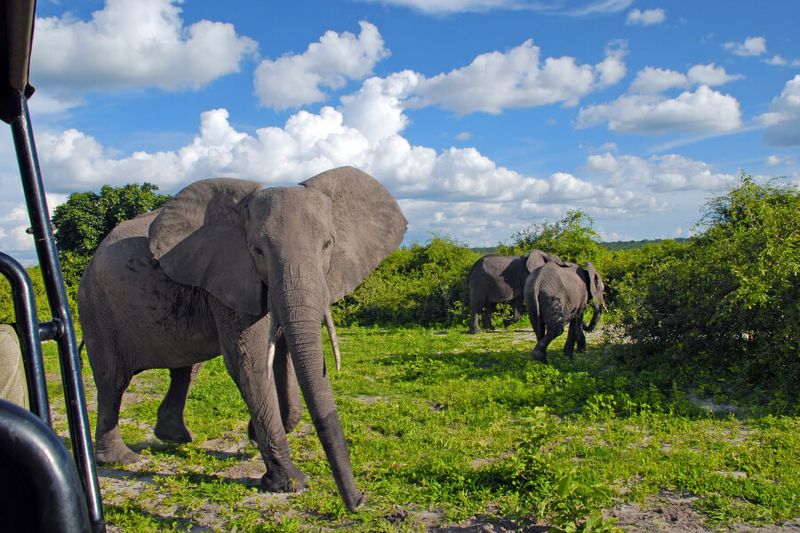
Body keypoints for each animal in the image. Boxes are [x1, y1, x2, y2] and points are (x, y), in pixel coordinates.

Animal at [77, 166, 406, 512]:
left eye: (328, 245)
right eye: (257, 250)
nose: (359, 500)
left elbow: (283, 354)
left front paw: (257, 434)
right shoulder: (229, 275)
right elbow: (251, 364)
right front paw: (289, 483)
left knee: (186, 368)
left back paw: (176, 439)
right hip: (96, 307)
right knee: (113, 381)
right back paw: (121, 460)